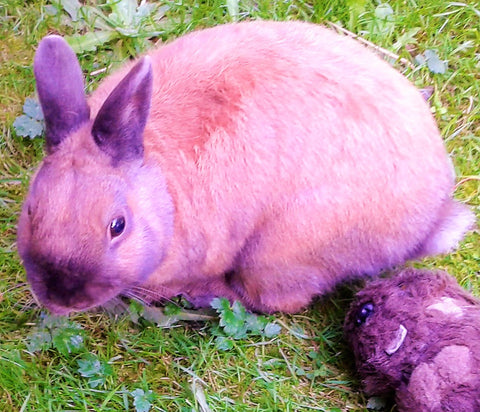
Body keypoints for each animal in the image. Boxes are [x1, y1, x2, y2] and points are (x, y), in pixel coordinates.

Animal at [16, 20, 474, 316]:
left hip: (281, 254)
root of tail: (427, 224)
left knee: (276, 301)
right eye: (31, 211)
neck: (165, 195)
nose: (60, 297)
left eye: (118, 226)